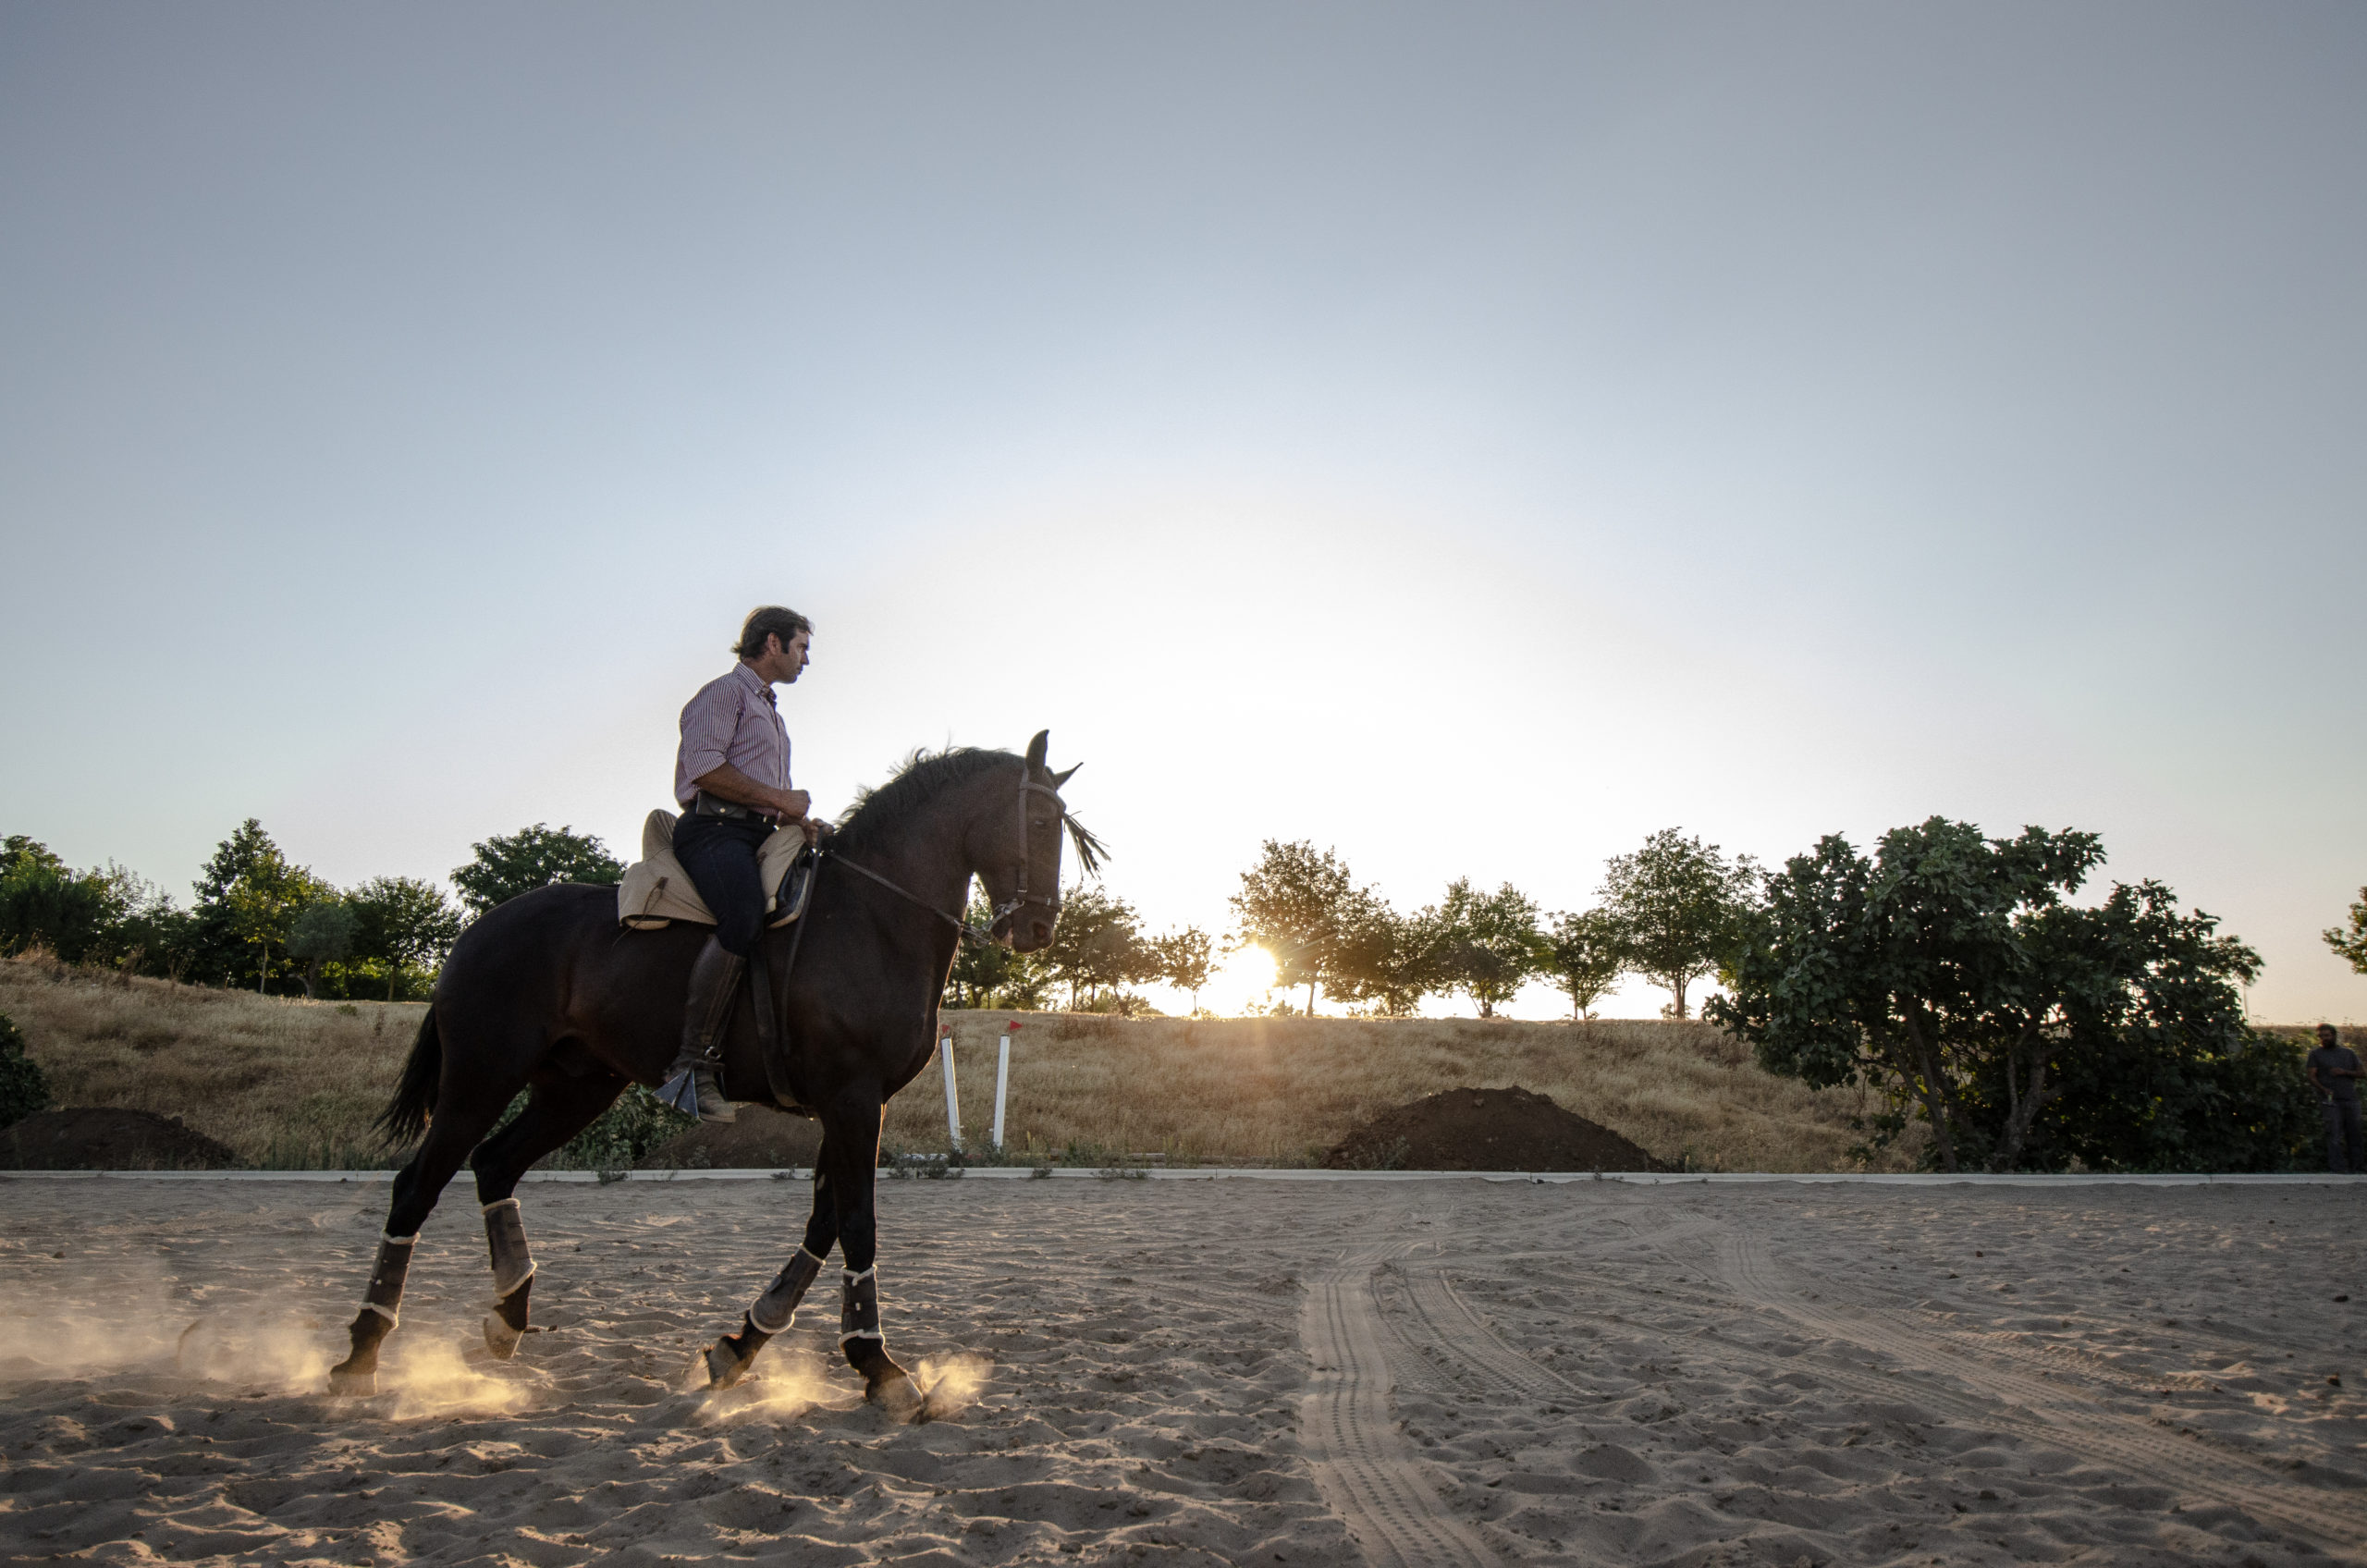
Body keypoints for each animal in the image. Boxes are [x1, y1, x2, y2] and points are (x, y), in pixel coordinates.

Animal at [331, 739, 1088, 1421]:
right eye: (1041, 822)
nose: (1038, 928)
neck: (873, 917)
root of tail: (479, 929)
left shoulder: (846, 1106)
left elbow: (822, 1225)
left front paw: (742, 1345)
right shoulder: (851, 1100)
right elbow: (856, 1224)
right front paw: (880, 1366)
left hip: (575, 1088)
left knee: (494, 1165)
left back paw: (506, 1318)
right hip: (479, 1079)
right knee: (417, 1187)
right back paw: (362, 1353)